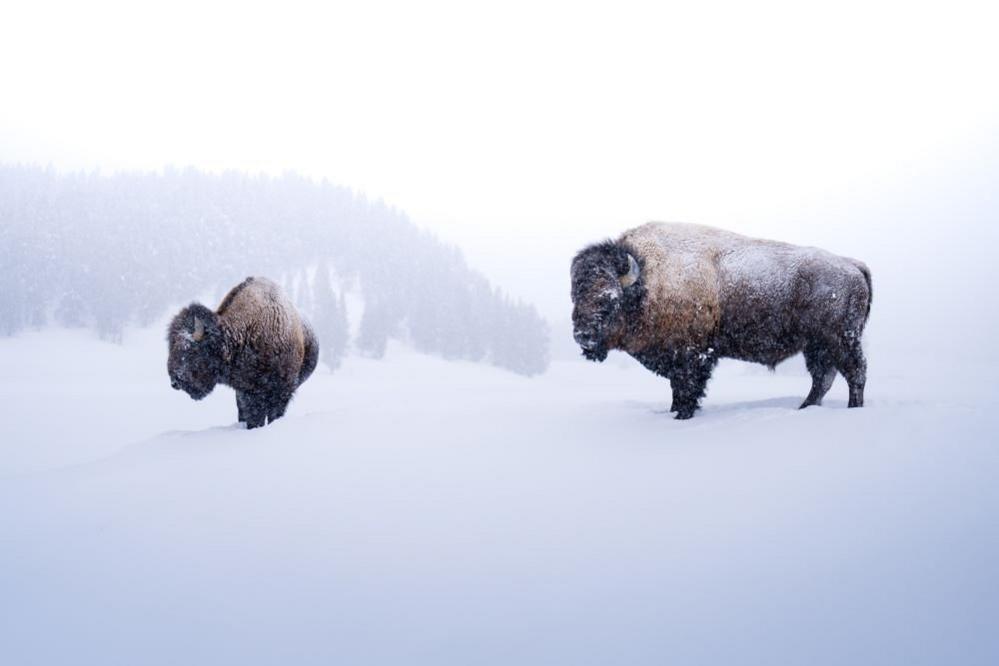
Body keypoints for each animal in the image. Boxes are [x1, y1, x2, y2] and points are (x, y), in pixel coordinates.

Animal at [166, 276, 318, 428]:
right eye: (171, 346)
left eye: (192, 350)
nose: (175, 382)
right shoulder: (246, 391)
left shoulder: (281, 390)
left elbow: (272, 414)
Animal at [572, 224, 876, 420]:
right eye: (575, 294)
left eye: (610, 299)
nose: (582, 335)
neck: (647, 282)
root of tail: (853, 265)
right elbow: (677, 390)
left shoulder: (692, 356)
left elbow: (686, 389)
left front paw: (682, 416)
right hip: (816, 346)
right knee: (823, 378)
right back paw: (805, 409)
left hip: (840, 340)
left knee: (854, 373)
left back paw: (853, 409)